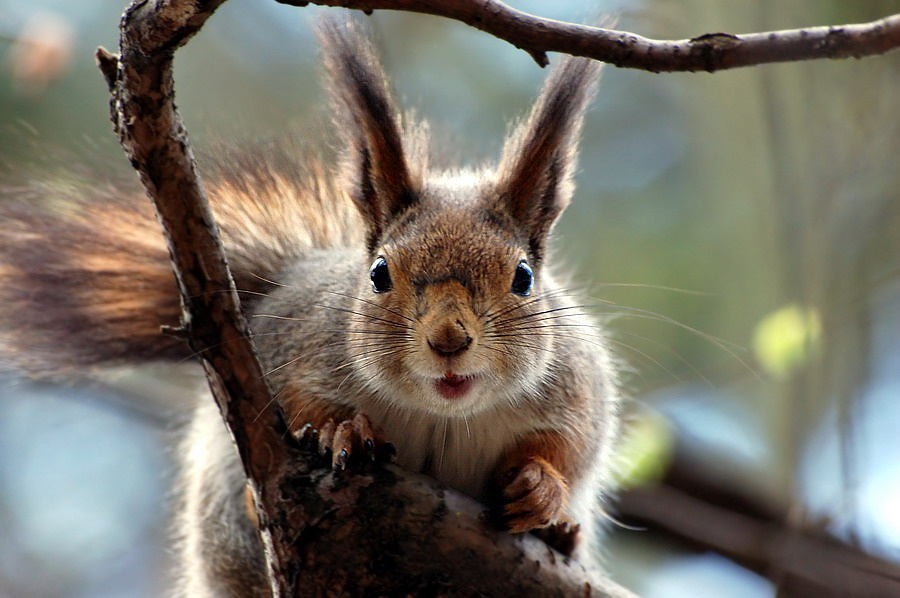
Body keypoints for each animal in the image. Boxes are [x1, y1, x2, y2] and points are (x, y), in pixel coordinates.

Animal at [0, 18, 620, 597]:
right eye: (378, 274)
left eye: (524, 278)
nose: (449, 340)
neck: (441, 413)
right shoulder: (288, 344)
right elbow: (289, 410)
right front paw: (342, 429)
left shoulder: (577, 389)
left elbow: (569, 450)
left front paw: (541, 489)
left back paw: (563, 534)